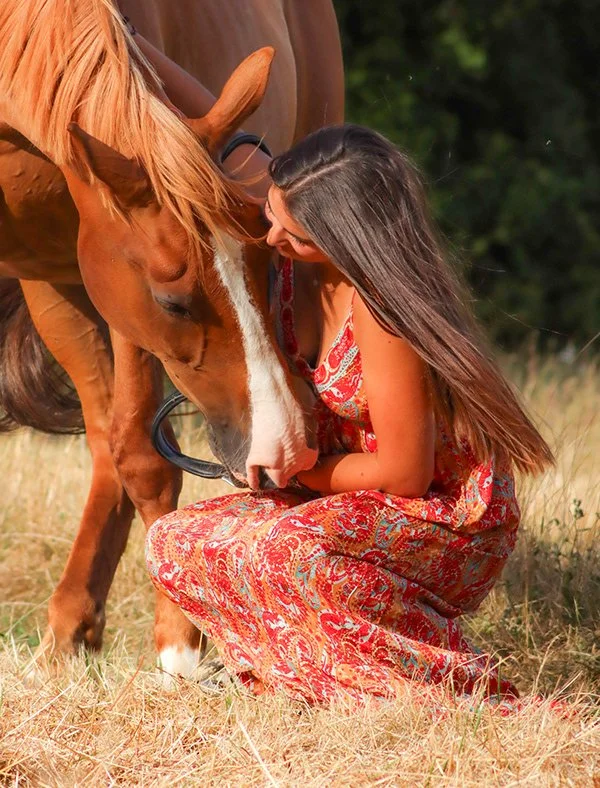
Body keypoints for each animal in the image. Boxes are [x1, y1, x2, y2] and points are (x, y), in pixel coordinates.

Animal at [0, 0, 343, 676]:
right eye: (172, 302)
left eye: (268, 263)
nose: (285, 445)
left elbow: (145, 458)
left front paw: (181, 643)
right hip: (56, 289)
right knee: (104, 442)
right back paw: (70, 628)